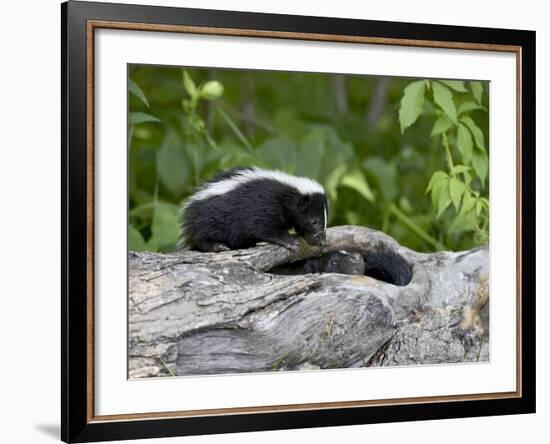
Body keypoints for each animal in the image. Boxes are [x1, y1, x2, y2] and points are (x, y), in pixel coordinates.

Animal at [181, 166, 328, 251]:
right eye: (314, 221)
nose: (323, 240)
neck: (288, 193)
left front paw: (313, 240)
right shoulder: (264, 205)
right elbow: (265, 227)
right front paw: (289, 242)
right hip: (210, 218)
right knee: (203, 236)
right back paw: (218, 246)